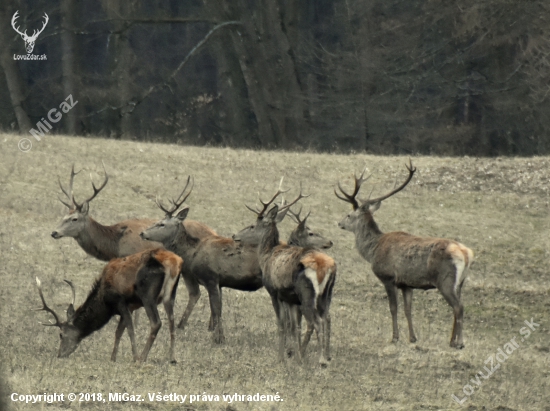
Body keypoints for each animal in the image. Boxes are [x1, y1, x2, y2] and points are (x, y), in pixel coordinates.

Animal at [35, 248, 185, 364]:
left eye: (61, 334)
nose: (60, 354)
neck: (105, 304)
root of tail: (173, 262)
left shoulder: (120, 301)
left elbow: (130, 329)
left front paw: (134, 357)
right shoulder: (130, 306)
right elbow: (118, 332)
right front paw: (113, 358)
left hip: (148, 296)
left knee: (156, 323)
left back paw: (142, 358)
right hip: (170, 295)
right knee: (171, 322)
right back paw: (172, 358)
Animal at [233, 188, 336, 366]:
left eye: (252, 226)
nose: (234, 236)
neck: (266, 255)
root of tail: (325, 266)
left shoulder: (274, 292)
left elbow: (282, 323)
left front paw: (281, 357)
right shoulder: (290, 299)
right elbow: (293, 326)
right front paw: (294, 354)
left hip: (307, 293)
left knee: (315, 322)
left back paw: (319, 359)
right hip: (325, 295)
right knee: (325, 318)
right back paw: (322, 356)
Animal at [336, 160, 474, 348]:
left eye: (349, 215)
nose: (339, 223)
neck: (372, 250)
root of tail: (466, 253)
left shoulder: (388, 277)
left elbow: (393, 308)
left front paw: (394, 337)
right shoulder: (406, 284)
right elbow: (408, 310)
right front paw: (412, 338)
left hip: (445, 279)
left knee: (459, 307)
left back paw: (458, 343)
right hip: (460, 282)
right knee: (458, 306)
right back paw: (453, 340)